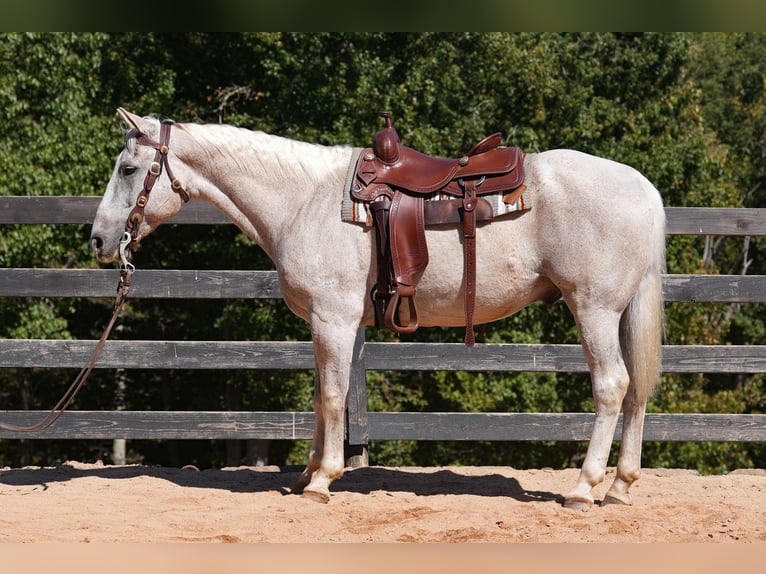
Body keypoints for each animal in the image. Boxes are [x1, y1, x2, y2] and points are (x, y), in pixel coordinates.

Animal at [90, 108, 665, 510]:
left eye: (128, 168)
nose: (98, 240)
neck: (305, 201)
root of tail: (644, 187)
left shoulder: (334, 319)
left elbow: (331, 395)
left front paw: (323, 480)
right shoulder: (324, 323)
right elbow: (321, 394)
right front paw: (308, 473)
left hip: (592, 308)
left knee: (613, 385)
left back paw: (584, 488)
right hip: (618, 311)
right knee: (637, 389)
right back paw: (621, 487)